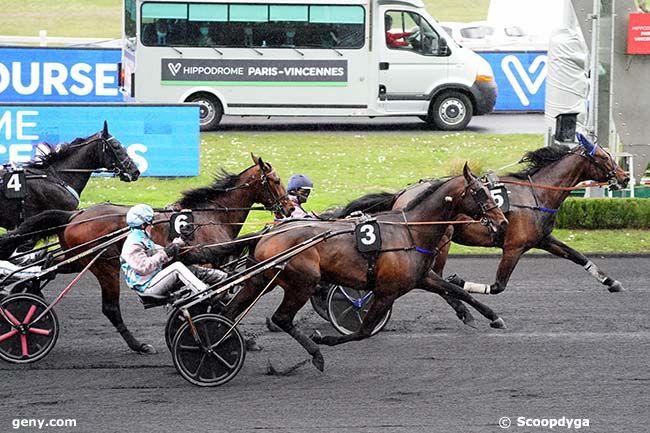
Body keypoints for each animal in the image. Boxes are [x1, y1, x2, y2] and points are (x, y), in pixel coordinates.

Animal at [0, 154, 292, 352]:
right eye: (276, 180)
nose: (289, 208)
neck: (210, 216)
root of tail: (76, 214)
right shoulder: (205, 260)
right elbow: (214, 299)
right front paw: (237, 338)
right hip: (104, 264)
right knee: (110, 308)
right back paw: (137, 345)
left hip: (79, 258)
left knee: (47, 266)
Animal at [218, 164, 506, 370]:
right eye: (479, 192)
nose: (502, 222)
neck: (410, 231)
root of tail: (267, 233)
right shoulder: (386, 292)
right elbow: (363, 331)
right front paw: (326, 339)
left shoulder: (422, 277)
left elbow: (458, 291)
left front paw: (493, 317)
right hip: (302, 281)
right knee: (282, 317)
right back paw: (315, 353)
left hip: (260, 280)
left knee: (231, 312)